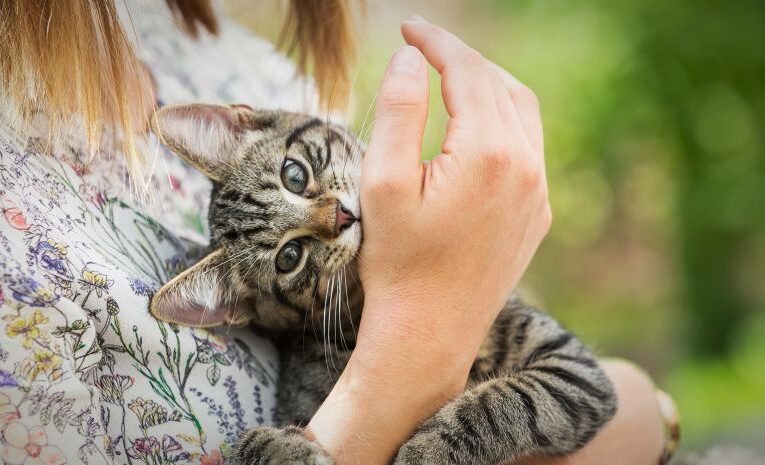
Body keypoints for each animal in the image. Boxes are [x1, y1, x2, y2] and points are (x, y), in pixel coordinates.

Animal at [151, 102, 620, 464]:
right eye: (289, 257)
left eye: (294, 175)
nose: (341, 216)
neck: (358, 307)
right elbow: (250, 440)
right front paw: (284, 451)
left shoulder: (572, 368)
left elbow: (513, 401)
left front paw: (434, 448)